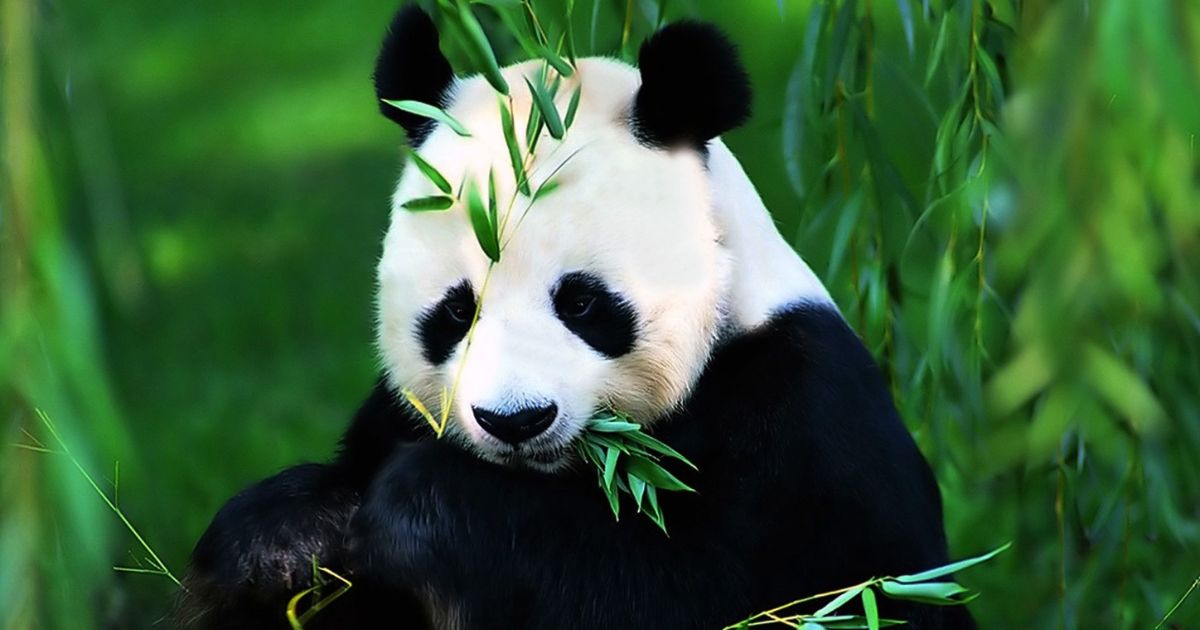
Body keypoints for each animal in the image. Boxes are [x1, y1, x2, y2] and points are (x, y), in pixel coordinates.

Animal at [173, 6, 973, 630]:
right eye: (456, 312)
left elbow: (739, 595)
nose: (515, 421)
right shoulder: (395, 414)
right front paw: (285, 538)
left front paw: (420, 509)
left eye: (582, 302)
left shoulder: (810, 418)